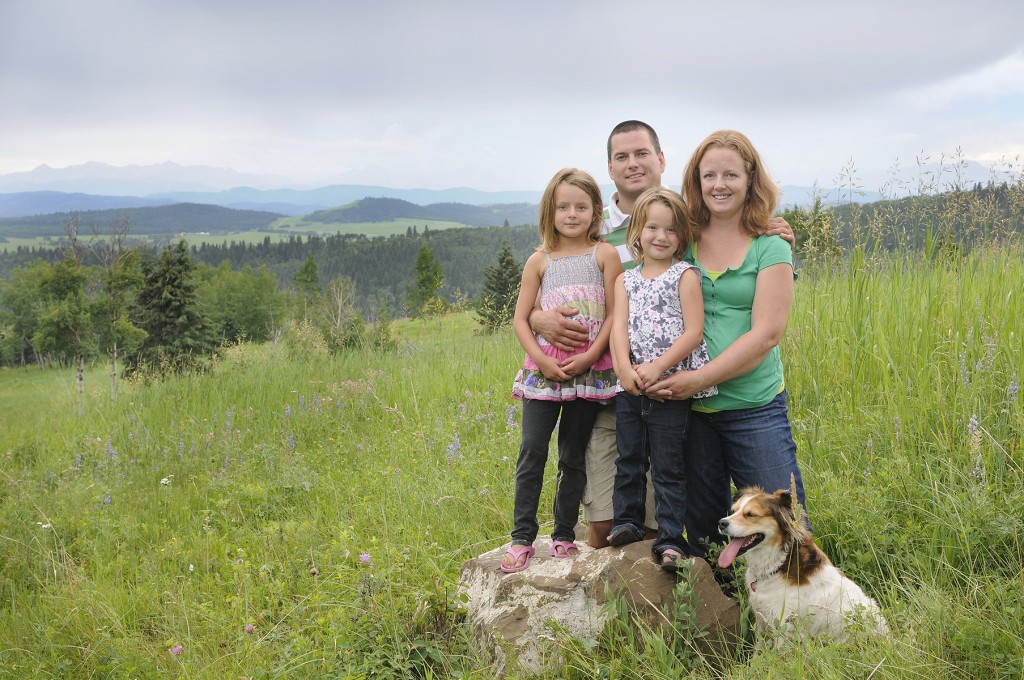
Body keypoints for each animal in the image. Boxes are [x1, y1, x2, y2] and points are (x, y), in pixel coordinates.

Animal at [712, 489, 888, 639]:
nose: (721, 523)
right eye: (733, 511)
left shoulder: (783, 626)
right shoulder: (761, 615)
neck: (778, 564)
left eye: (750, 514)